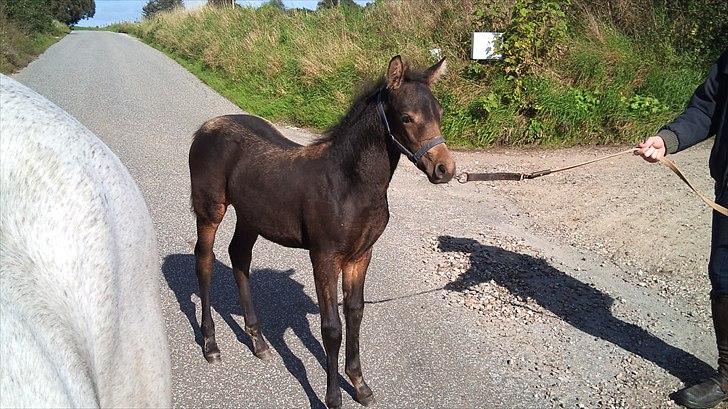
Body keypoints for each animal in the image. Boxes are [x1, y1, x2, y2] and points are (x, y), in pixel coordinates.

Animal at [188, 55, 456, 408]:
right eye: (407, 117)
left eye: (439, 113)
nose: (445, 169)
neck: (349, 183)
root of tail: (204, 128)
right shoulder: (325, 256)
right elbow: (331, 327)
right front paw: (333, 397)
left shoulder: (360, 255)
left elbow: (355, 313)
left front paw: (359, 384)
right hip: (210, 210)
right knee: (204, 261)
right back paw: (211, 344)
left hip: (250, 216)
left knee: (239, 257)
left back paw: (258, 341)